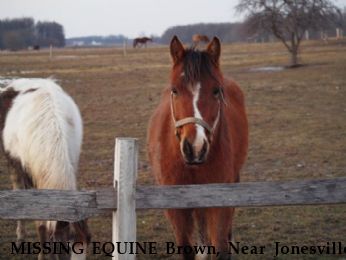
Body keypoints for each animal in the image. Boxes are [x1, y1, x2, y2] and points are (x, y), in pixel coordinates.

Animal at [147, 35, 247, 258]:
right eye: (175, 90)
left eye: (216, 90)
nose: (195, 147)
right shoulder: (175, 209)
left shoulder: (220, 203)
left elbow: (221, 248)